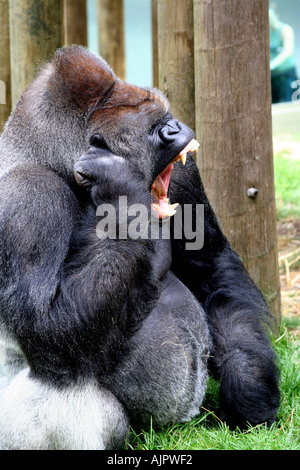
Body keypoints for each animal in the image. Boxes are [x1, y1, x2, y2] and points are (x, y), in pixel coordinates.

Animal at [0, 46, 278, 450]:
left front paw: (249, 389)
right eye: (153, 130)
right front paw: (121, 190)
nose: (176, 128)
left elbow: (214, 271)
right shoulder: (27, 194)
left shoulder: (181, 173)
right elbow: (49, 332)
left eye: (164, 117)